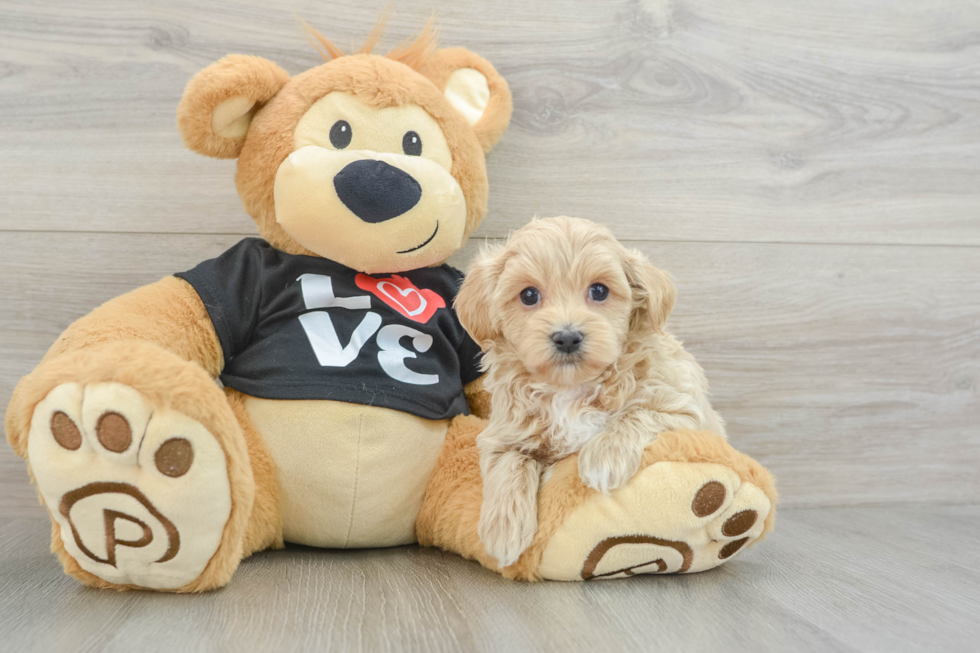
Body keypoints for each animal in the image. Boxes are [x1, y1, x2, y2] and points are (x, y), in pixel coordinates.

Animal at [456, 215, 724, 564]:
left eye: (599, 290)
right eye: (528, 295)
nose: (567, 337)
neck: (571, 388)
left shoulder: (685, 408)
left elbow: (638, 412)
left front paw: (604, 458)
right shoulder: (503, 433)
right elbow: (510, 462)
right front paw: (504, 529)